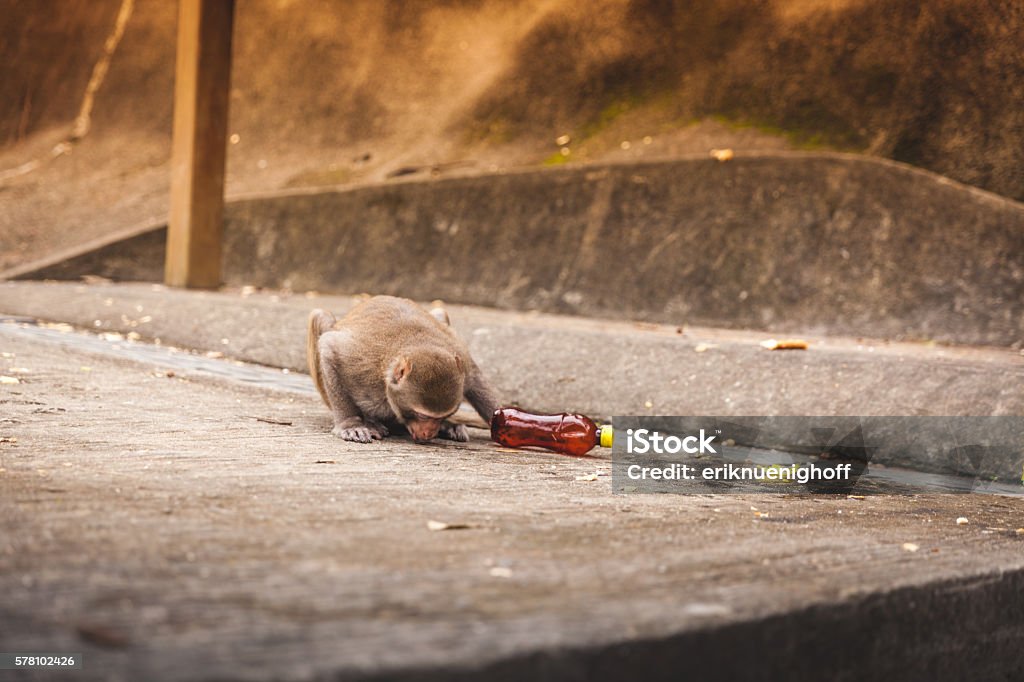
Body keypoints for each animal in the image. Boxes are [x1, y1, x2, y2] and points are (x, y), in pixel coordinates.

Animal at [307, 294, 499, 444]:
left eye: (440, 416)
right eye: (423, 416)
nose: (429, 433)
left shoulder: (461, 359)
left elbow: (475, 378)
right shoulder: (361, 364)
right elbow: (329, 347)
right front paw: (351, 424)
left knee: (440, 313)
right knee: (319, 317)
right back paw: (370, 421)